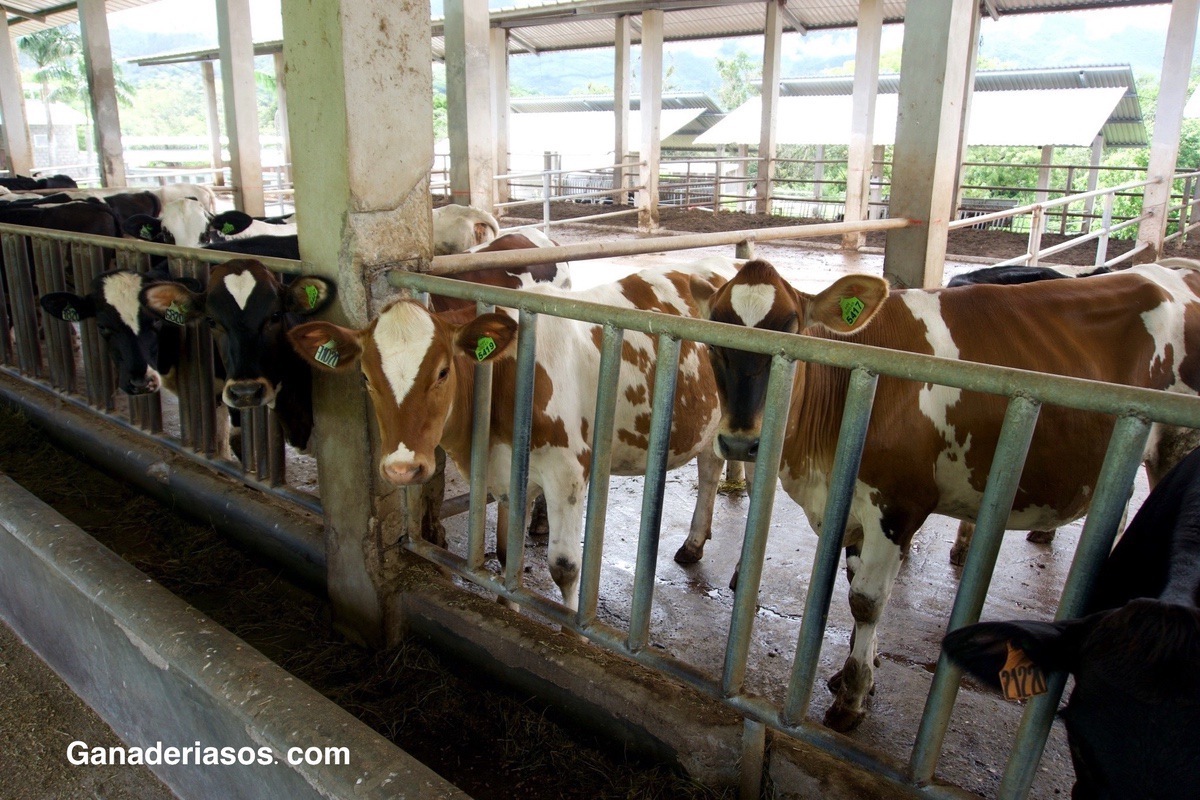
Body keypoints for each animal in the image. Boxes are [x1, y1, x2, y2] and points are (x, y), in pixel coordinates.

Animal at [286, 259, 736, 609]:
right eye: (365, 377)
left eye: (443, 372)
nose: (401, 468)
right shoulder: (509, 475)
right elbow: (508, 556)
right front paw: (509, 605)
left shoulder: (568, 474)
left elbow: (565, 567)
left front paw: (574, 638)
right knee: (710, 468)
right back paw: (694, 543)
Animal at [696, 258, 1200, 732]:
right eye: (713, 340)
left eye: (792, 332)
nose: (740, 443)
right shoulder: (854, 504)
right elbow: (856, 583)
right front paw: (859, 674)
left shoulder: (897, 502)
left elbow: (866, 600)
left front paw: (851, 699)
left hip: (1176, 447)